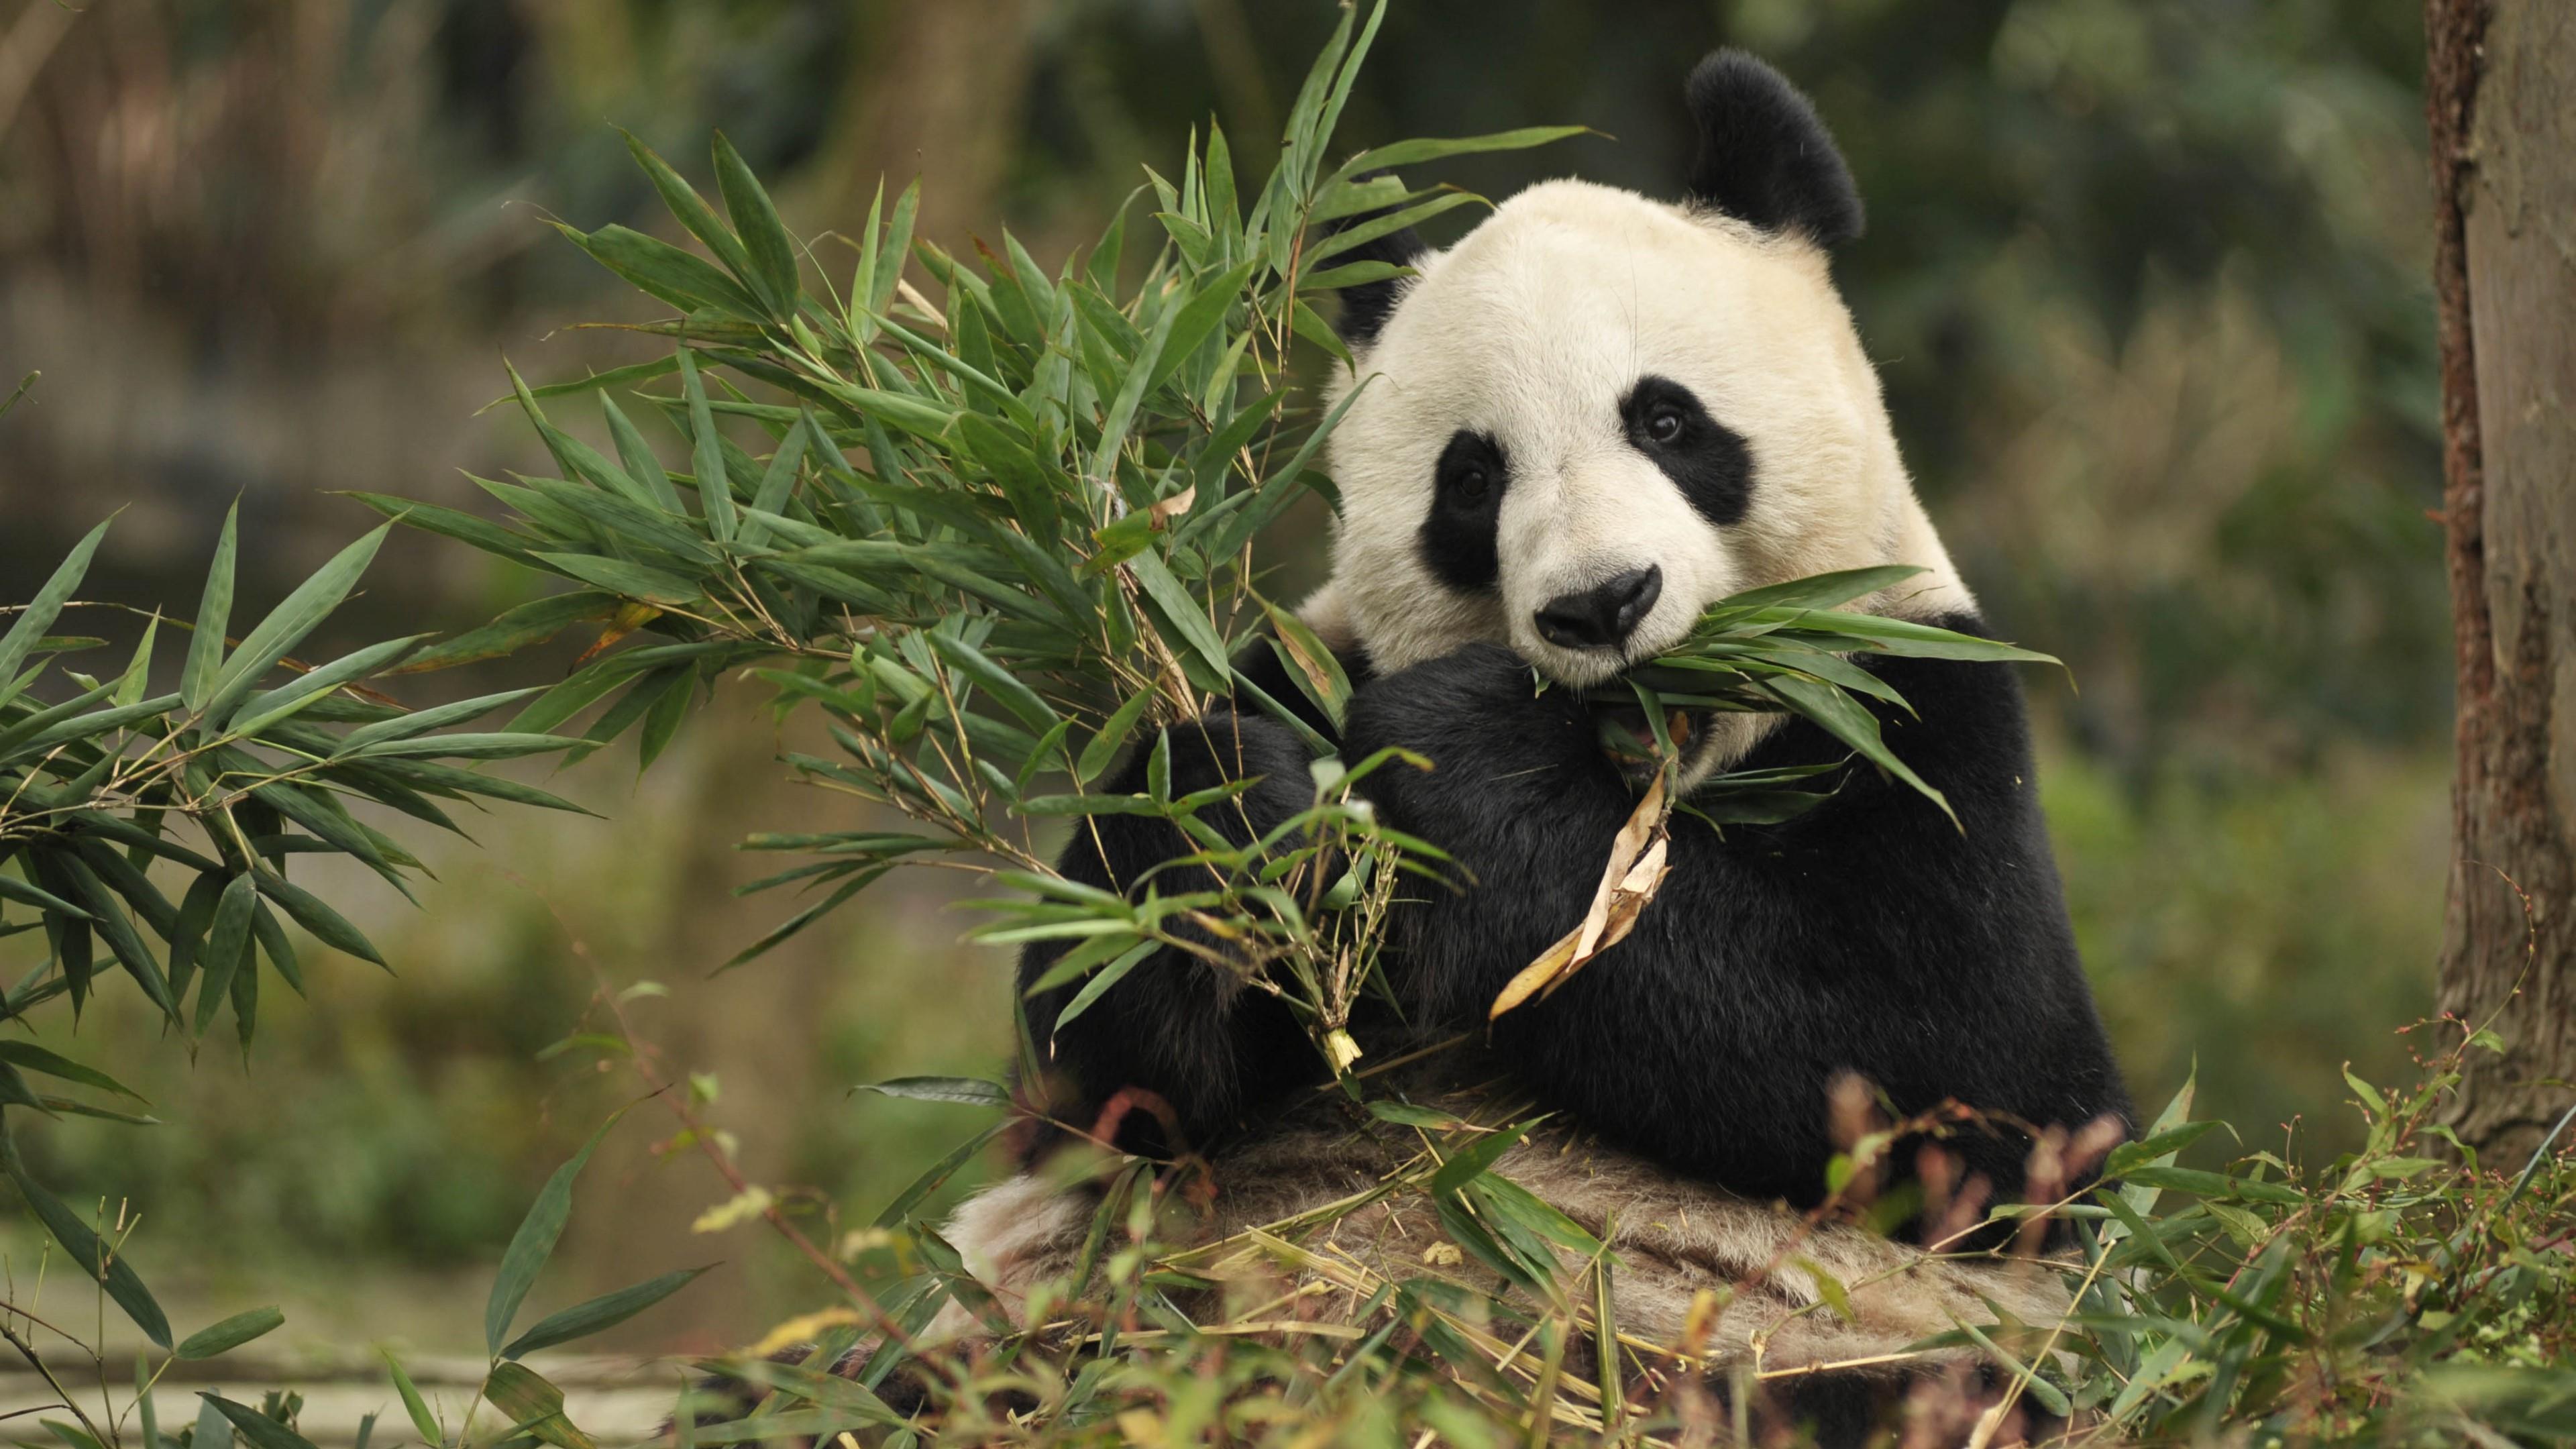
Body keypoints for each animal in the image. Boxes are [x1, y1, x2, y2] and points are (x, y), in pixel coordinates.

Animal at [937, 49, 2130, 1440]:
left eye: (1668, 423)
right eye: (1471, 480)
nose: (1600, 604)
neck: (1647, 770)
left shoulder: (1917, 706)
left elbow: (1972, 1087)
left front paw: (1466, 755)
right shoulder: (1307, 665)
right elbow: (1106, 1088)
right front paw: (1234, 815)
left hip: (1827, 1362)